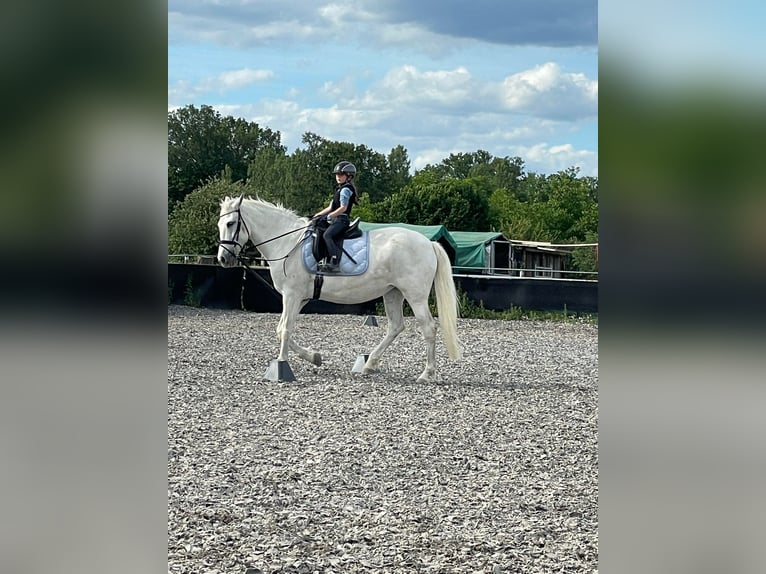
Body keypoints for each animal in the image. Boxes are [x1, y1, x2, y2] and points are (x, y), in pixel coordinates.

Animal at [216, 195, 462, 382]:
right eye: (220, 225)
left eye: (230, 224)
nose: (223, 259)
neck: (288, 243)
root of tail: (428, 243)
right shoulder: (299, 298)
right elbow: (281, 329)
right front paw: (314, 357)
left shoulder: (292, 295)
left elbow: (285, 329)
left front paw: (282, 365)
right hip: (393, 293)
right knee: (395, 326)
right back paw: (369, 364)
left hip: (415, 295)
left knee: (428, 328)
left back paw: (426, 374)